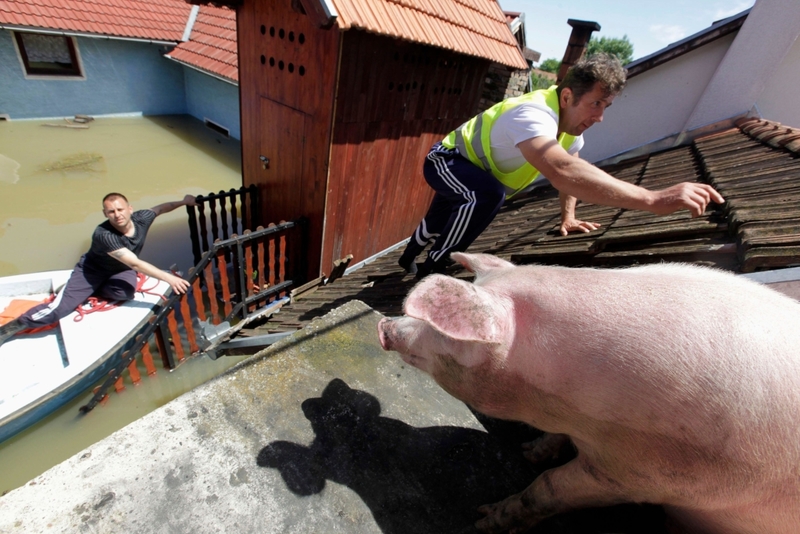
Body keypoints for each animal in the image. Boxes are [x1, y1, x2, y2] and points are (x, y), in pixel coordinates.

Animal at [376, 253, 800, 532]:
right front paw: (529, 452)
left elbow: (546, 488)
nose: (384, 326)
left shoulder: (645, 475)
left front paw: (485, 520)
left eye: (442, 330)